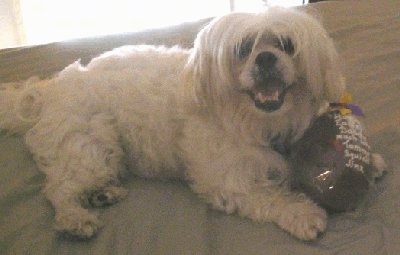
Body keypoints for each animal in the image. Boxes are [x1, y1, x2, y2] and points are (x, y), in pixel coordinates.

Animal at [1, 6, 356, 240]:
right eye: (243, 48)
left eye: (286, 44)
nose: (266, 57)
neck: (253, 121)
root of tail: (48, 89)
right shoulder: (226, 179)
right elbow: (269, 197)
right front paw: (302, 213)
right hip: (90, 145)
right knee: (58, 188)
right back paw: (74, 217)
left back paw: (101, 195)